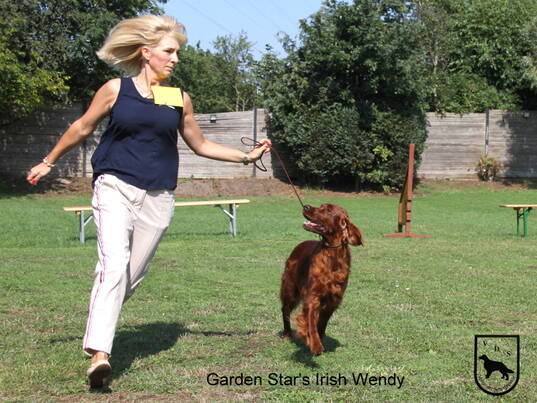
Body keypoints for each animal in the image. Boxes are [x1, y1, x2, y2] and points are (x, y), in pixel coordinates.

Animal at [280, 203, 364, 355]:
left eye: (328, 209)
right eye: (321, 206)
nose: (306, 206)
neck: (332, 256)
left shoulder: (333, 300)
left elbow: (321, 323)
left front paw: (319, 338)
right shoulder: (312, 296)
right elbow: (311, 323)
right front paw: (315, 344)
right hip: (290, 288)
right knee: (285, 310)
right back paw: (287, 333)